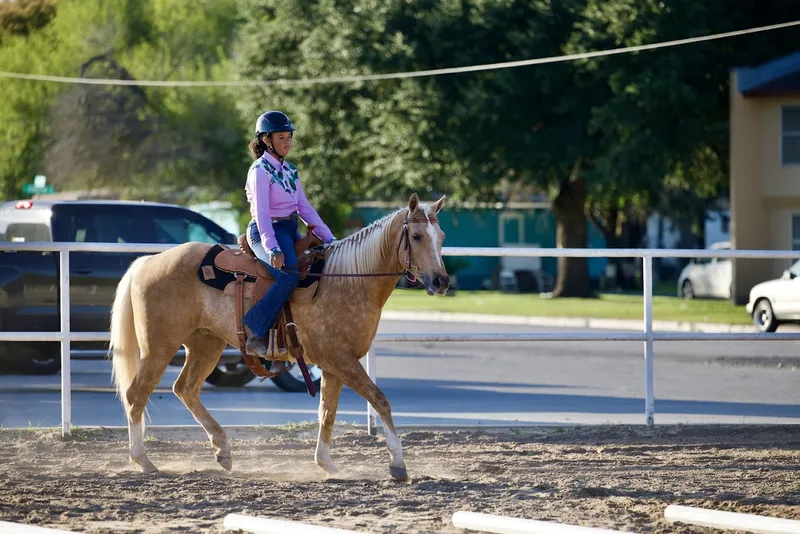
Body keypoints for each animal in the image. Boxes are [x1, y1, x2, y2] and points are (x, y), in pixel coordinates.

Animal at [108, 193, 450, 482]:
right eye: (417, 236)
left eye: (442, 237)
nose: (441, 281)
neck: (348, 280)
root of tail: (148, 262)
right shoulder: (341, 359)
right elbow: (379, 400)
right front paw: (398, 464)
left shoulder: (333, 365)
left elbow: (327, 411)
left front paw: (326, 464)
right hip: (158, 347)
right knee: (136, 394)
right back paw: (144, 461)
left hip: (206, 344)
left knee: (186, 389)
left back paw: (223, 451)